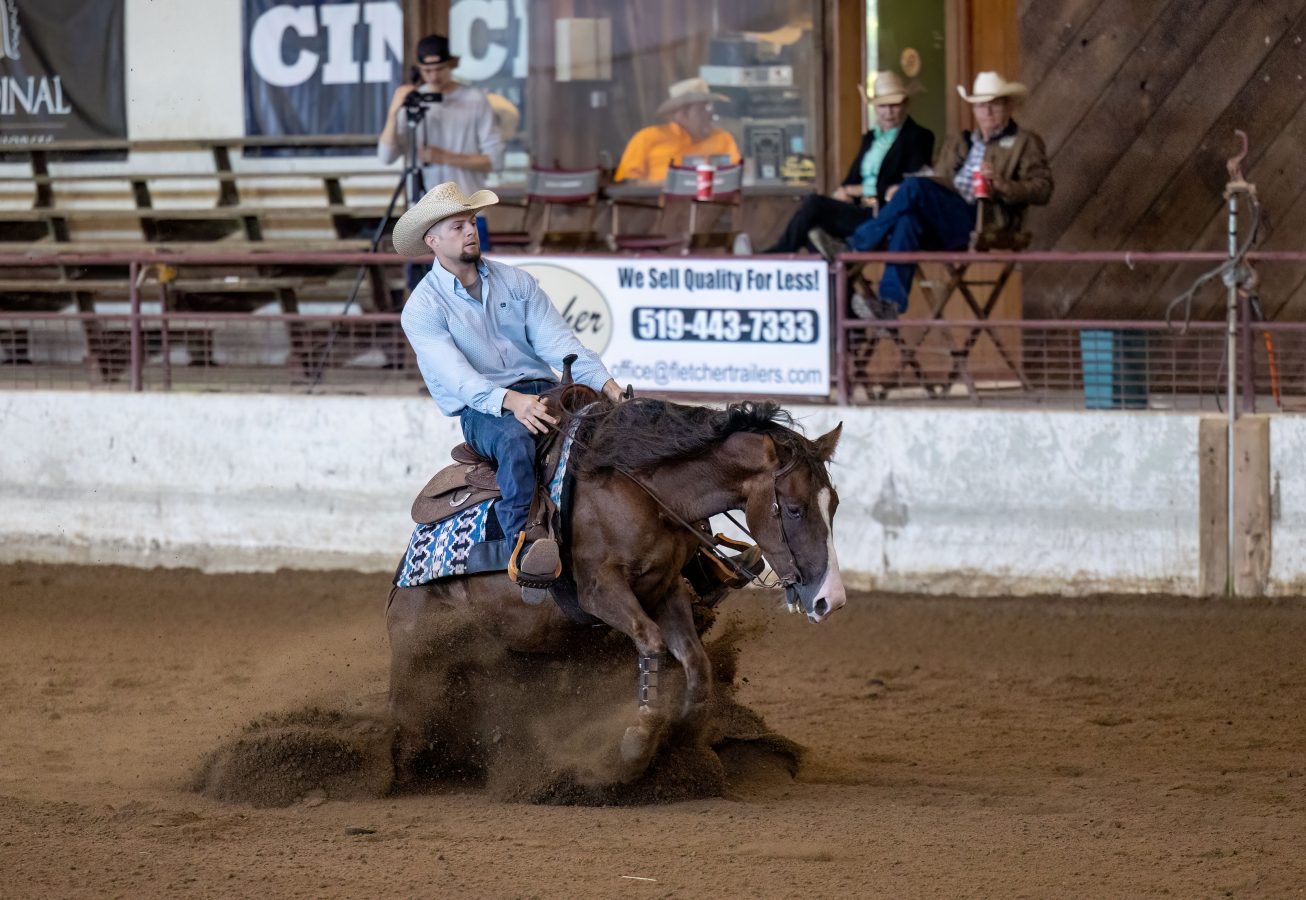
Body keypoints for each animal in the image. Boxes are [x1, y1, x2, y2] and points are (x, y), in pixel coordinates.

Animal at [383, 397, 846, 783]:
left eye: (835, 504)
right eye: (794, 509)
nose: (832, 600)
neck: (642, 494)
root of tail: (401, 579)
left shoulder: (665, 588)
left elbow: (696, 662)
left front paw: (683, 734)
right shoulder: (600, 590)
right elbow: (651, 641)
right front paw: (638, 743)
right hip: (415, 648)